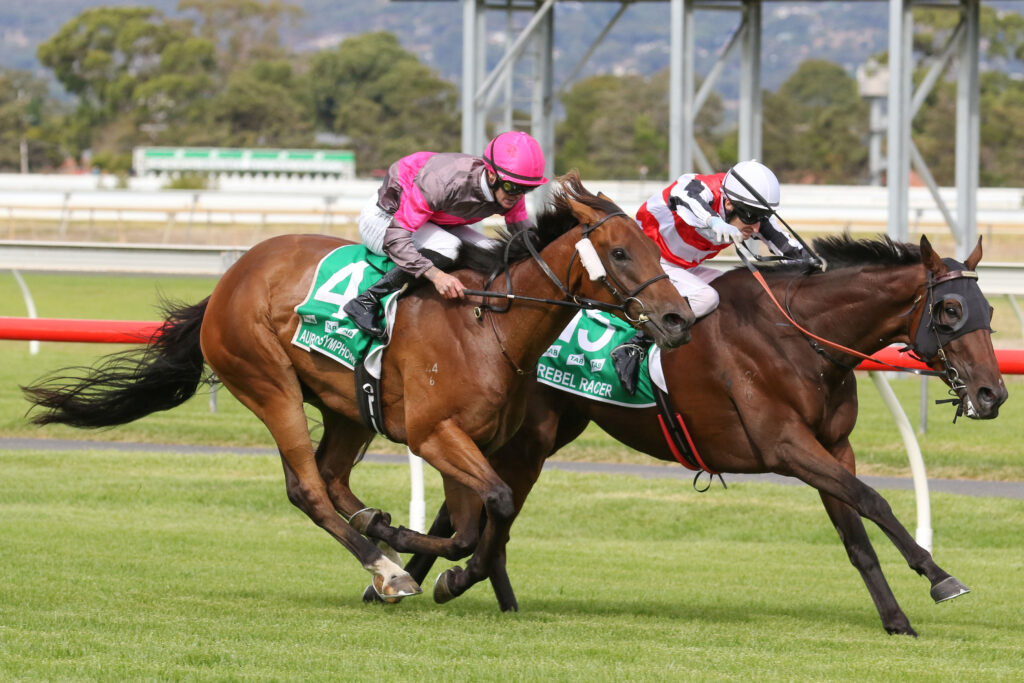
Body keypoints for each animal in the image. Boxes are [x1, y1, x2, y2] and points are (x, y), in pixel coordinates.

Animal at [22, 171, 696, 602]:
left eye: (652, 247)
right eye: (620, 253)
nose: (677, 320)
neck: (489, 324)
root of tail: (229, 281)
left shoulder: (471, 440)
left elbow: (476, 518)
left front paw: (436, 561)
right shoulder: (433, 434)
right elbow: (490, 510)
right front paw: (436, 570)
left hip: (346, 406)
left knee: (331, 476)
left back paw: (378, 535)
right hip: (268, 382)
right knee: (307, 487)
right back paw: (385, 567)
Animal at [399, 235, 1007, 634]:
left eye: (990, 309)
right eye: (950, 309)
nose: (992, 394)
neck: (799, 337)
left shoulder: (835, 447)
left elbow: (857, 536)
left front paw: (896, 619)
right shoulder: (787, 447)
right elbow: (874, 499)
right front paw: (939, 576)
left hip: (545, 431)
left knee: (475, 506)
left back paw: (438, 580)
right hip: (531, 435)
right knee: (481, 506)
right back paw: (423, 576)